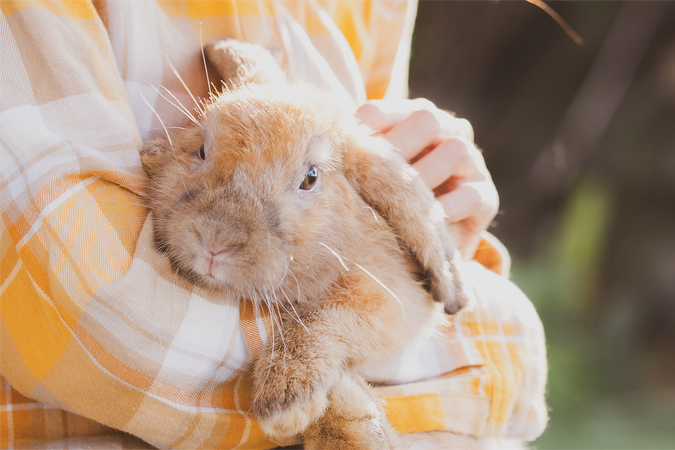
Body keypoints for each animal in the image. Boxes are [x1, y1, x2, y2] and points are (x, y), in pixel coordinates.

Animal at [141, 39, 470, 450]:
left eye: (311, 178)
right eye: (201, 150)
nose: (215, 241)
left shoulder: (392, 299)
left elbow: (321, 320)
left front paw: (285, 403)